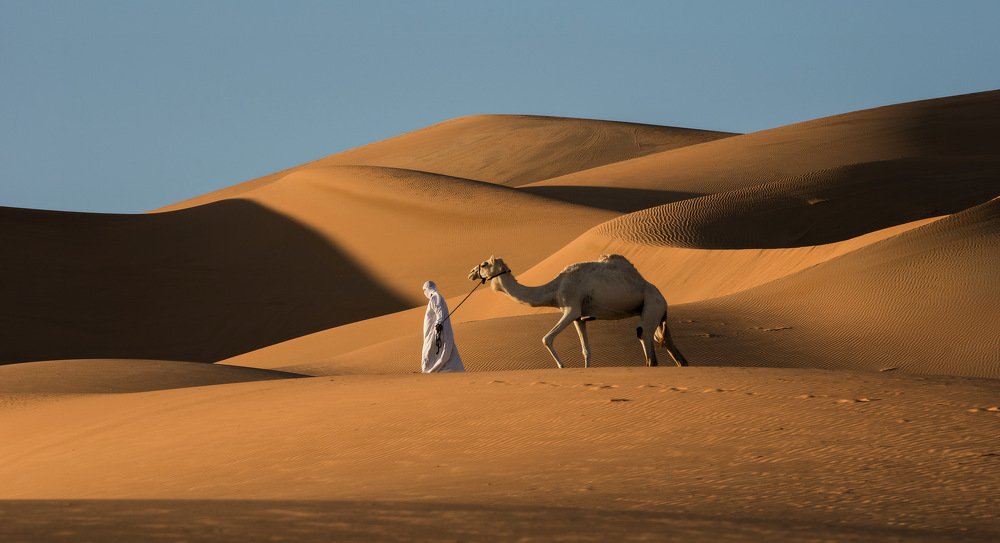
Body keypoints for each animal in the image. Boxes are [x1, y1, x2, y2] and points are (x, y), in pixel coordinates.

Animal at [469, 255, 688, 368]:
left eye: (485, 264)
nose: (471, 272)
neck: (555, 288)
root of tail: (663, 298)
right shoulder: (579, 318)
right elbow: (586, 351)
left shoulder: (571, 309)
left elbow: (546, 338)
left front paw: (562, 366)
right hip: (658, 314)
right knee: (672, 349)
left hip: (652, 305)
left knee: (646, 343)